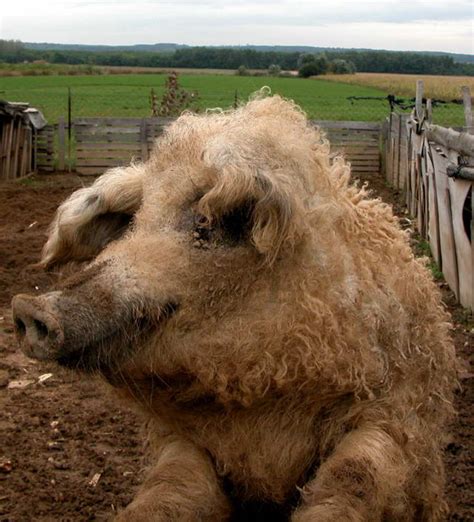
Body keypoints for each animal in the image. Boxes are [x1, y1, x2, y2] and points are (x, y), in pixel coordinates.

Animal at [12, 94, 456, 520]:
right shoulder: (182, 440)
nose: (28, 308)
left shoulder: (398, 416)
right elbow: (168, 491)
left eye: (209, 223)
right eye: (136, 220)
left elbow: (353, 478)